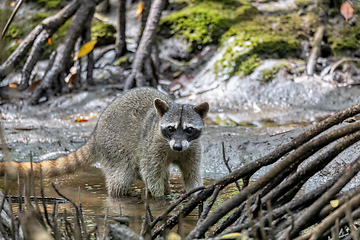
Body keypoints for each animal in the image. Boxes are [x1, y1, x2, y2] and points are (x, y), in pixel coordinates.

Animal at [0, 87, 208, 198]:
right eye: (171, 129)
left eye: (189, 129)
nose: (177, 147)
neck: (174, 148)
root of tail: (96, 131)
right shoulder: (153, 145)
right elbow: (151, 173)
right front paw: (159, 198)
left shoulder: (193, 148)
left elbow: (192, 173)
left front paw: (195, 194)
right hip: (114, 147)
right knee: (122, 176)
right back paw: (123, 195)